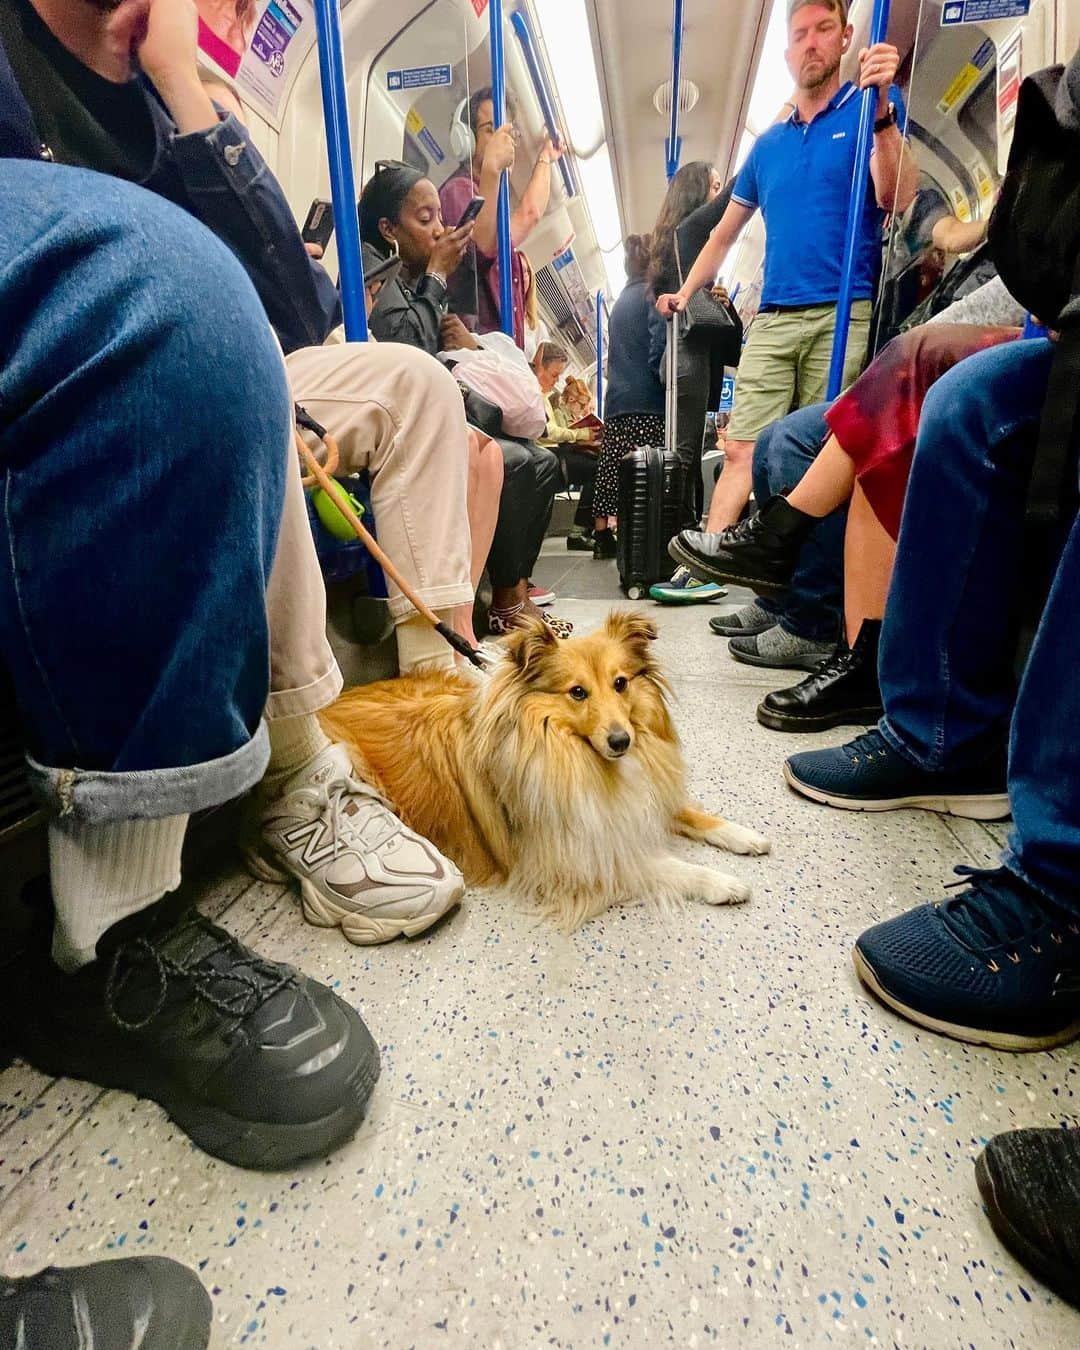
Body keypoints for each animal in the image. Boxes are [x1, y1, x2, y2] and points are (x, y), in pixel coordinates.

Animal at [321, 610, 766, 928]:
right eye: (577, 692)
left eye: (620, 683)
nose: (621, 742)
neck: (574, 756)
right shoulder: (570, 860)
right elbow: (659, 865)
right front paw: (722, 882)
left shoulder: (638, 798)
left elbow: (688, 812)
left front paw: (744, 835)